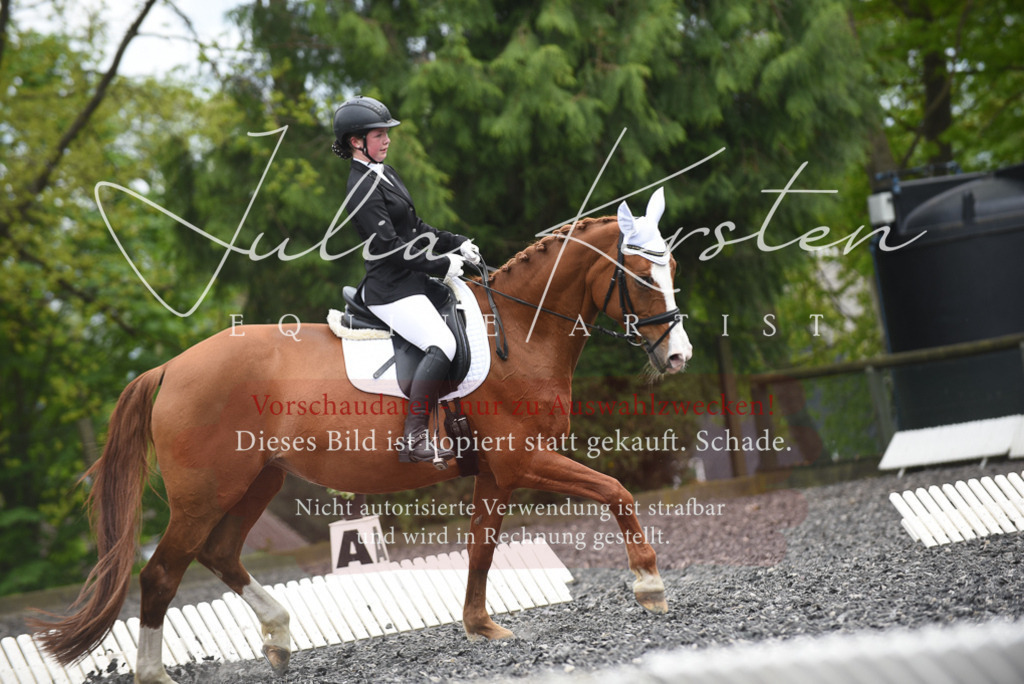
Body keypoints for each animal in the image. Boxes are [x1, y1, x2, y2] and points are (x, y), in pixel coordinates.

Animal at [33, 192, 692, 683]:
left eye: (674, 272)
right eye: (640, 275)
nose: (678, 357)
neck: (520, 332)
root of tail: (170, 367)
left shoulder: (494, 473)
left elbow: (481, 548)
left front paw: (480, 626)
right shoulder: (525, 461)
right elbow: (616, 492)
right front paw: (650, 586)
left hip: (258, 479)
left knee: (219, 553)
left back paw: (279, 636)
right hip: (204, 493)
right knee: (162, 574)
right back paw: (155, 673)